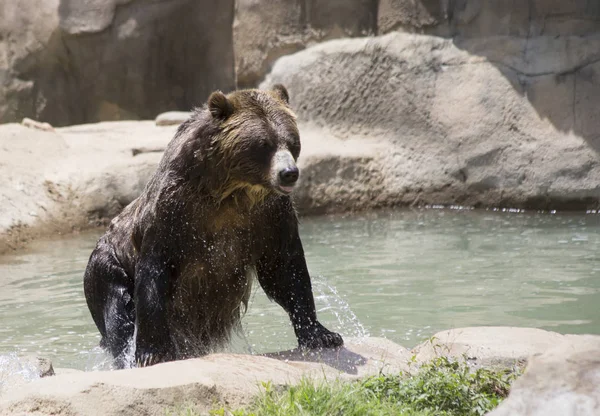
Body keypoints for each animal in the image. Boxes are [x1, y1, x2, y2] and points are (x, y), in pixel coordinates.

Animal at [83, 84, 342, 368]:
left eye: (292, 141)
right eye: (264, 144)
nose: (289, 173)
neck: (229, 190)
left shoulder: (270, 215)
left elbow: (285, 269)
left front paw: (322, 334)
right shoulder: (173, 212)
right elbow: (154, 272)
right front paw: (153, 352)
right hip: (106, 269)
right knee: (118, 312)